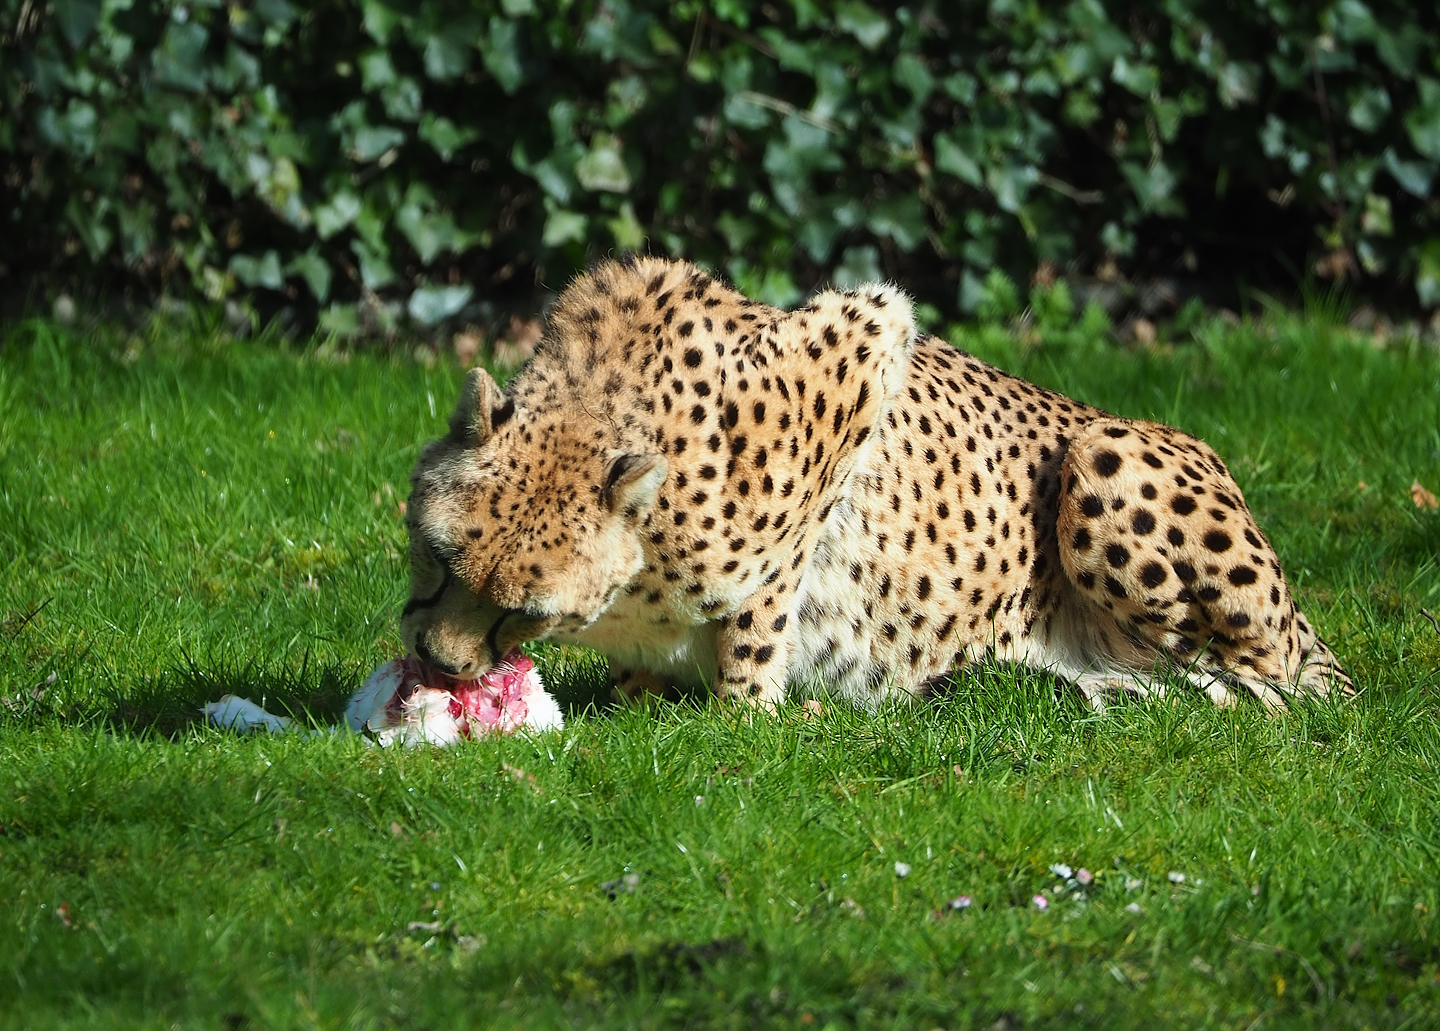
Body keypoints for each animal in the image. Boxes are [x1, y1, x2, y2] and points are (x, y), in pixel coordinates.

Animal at [400, 256, 1351, 712]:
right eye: (437, 558)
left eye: (524, 609)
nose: (437, 665)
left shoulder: (865, 337)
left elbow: (765, 602)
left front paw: (744, 715)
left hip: (1103, 454)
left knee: (1269, 688)